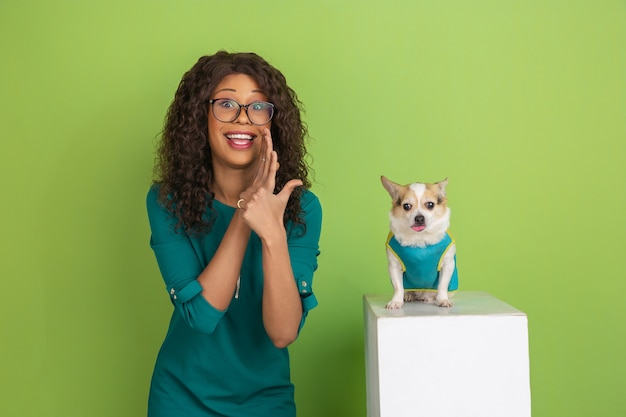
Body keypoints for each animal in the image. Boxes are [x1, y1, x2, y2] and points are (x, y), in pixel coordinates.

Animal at [378, 174, 456, 308]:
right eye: (406, 206)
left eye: (430, 205)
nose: (419, 218)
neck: (419, 238)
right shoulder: (394, 266)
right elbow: (398, 287)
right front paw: (396, 301)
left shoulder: (448, 263)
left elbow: (442, 285)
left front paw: (443, 299)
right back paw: (408, 296)